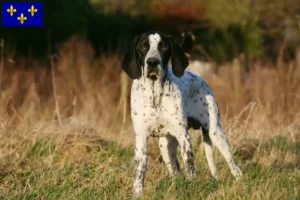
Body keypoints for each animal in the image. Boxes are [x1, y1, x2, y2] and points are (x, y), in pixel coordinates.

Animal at [120, 30, 243, 197]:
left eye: (164, 46)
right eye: (143, 47)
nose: (152, 62)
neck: (154, 94)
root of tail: (199, 77)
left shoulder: (184, 137)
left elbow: (190, 167)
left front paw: (192, 188)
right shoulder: (141, 139)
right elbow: (139, 173)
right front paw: (137, 194)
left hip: (217, 135)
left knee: (234, 167)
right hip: (165, 146)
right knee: (175, 173)